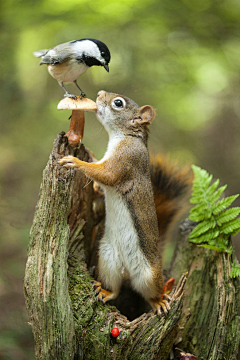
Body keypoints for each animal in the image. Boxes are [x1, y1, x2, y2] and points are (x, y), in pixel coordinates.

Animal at [59, 90, 192, 316]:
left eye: (118, 103)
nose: (99, 94)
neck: (124, 136)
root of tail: (127, 271)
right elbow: (100, 178)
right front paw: (90, 157)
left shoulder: (126, 161)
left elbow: (105, 174)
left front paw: (75, 162)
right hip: (107, 259)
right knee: (115, 288)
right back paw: (105, 291)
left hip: (149, 275)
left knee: (151, 293)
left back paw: (159, 302)